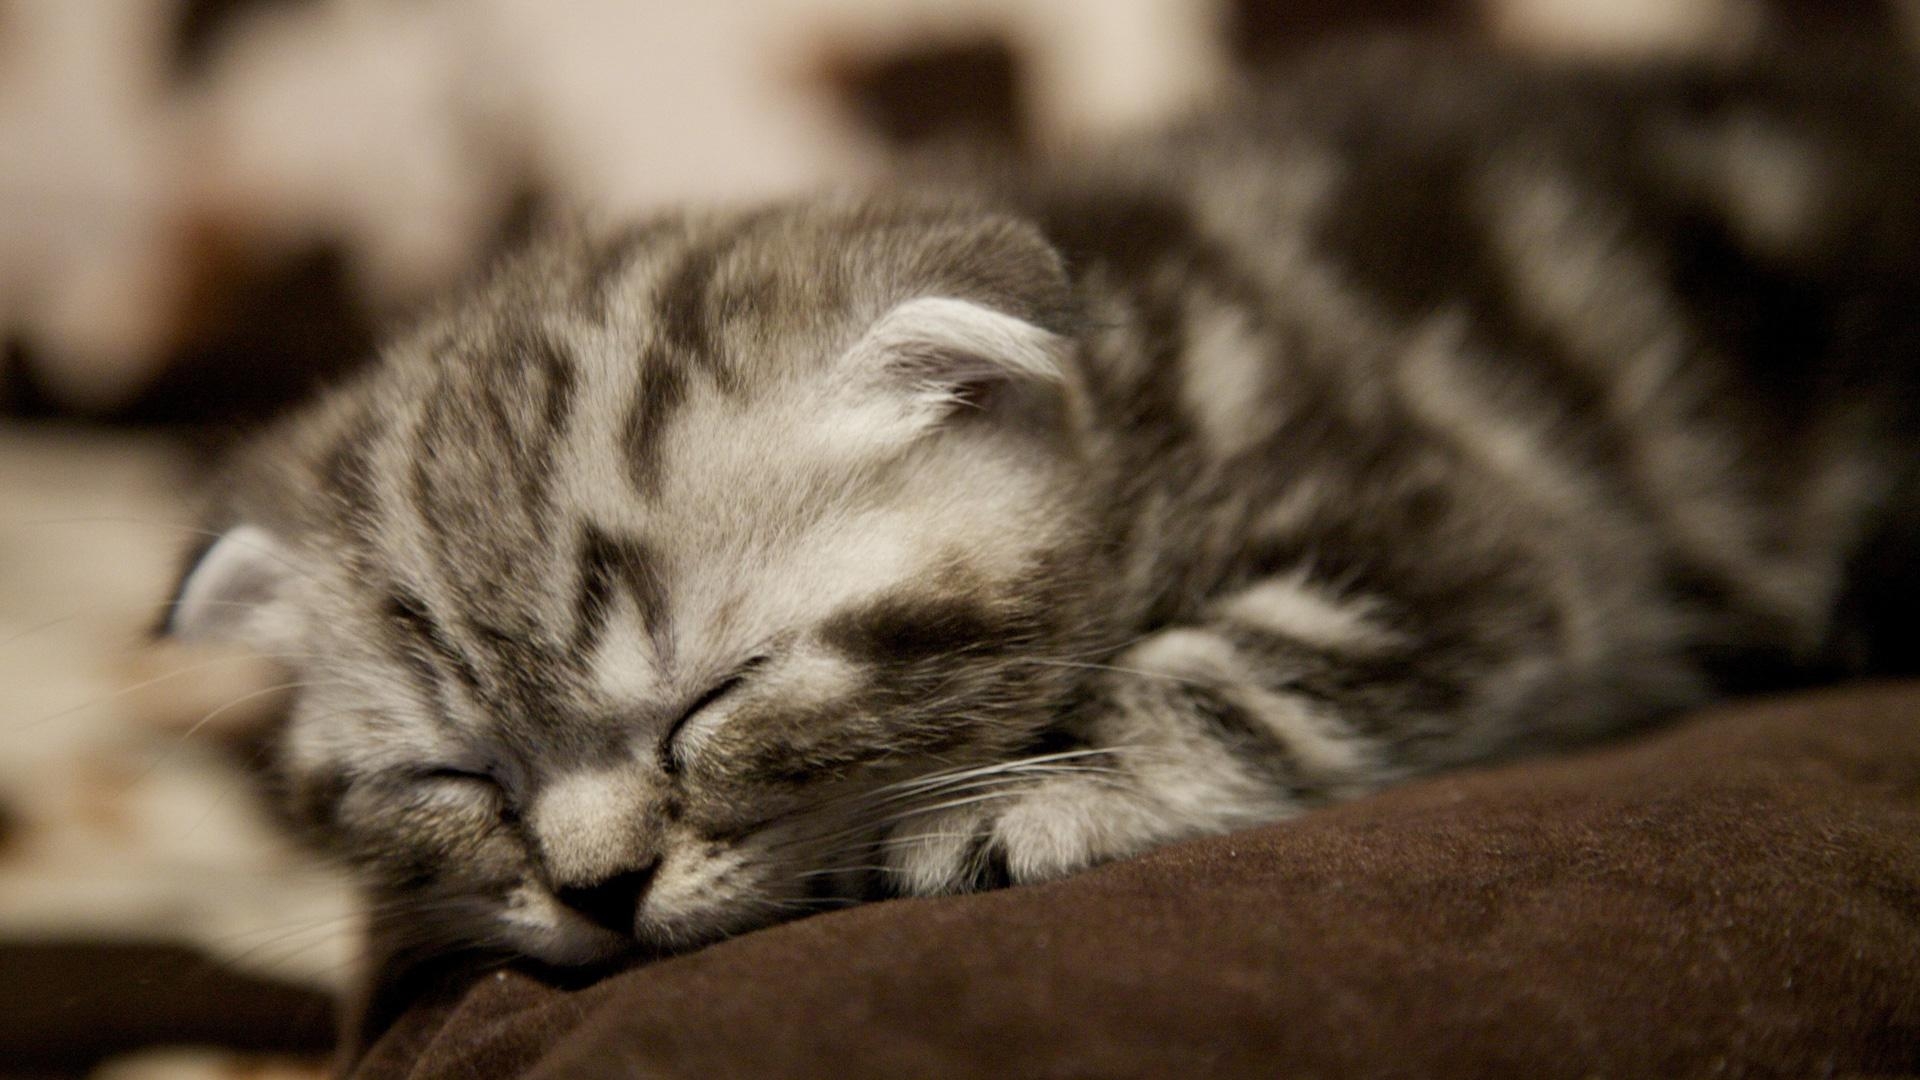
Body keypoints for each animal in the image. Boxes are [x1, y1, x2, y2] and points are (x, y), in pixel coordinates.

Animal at [161, 39, 1920, 957]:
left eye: (721, 697)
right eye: (451, 777)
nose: (597, 894)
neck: (1133, 391)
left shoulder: (1475, 535)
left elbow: (1243, 668)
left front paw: (1042, 792)